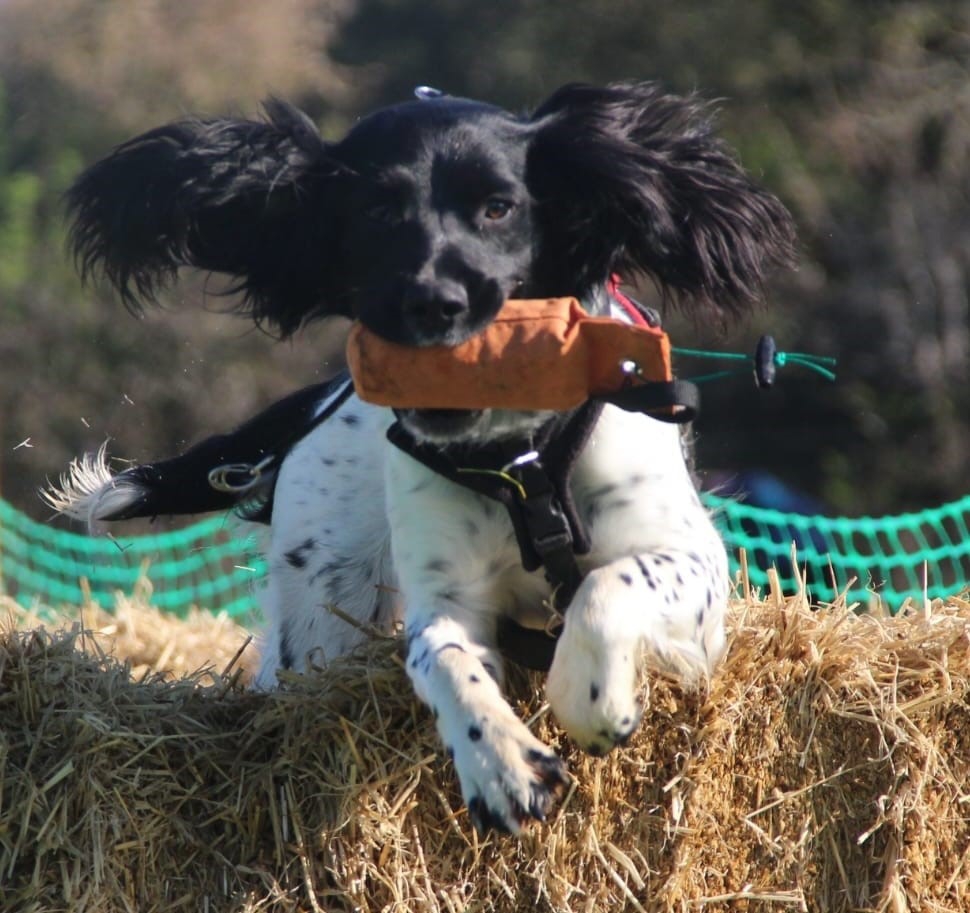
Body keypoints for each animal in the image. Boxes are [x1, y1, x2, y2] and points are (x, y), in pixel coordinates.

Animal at [49, 82, 796, 832]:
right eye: (378, 210)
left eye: (498, 206)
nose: (434, 301)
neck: (516, 460)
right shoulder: (447, 594)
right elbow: (441, 655)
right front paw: (499, 764)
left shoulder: (693, 573)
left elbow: (606, 588)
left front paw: (591, 698)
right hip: (322, 616)